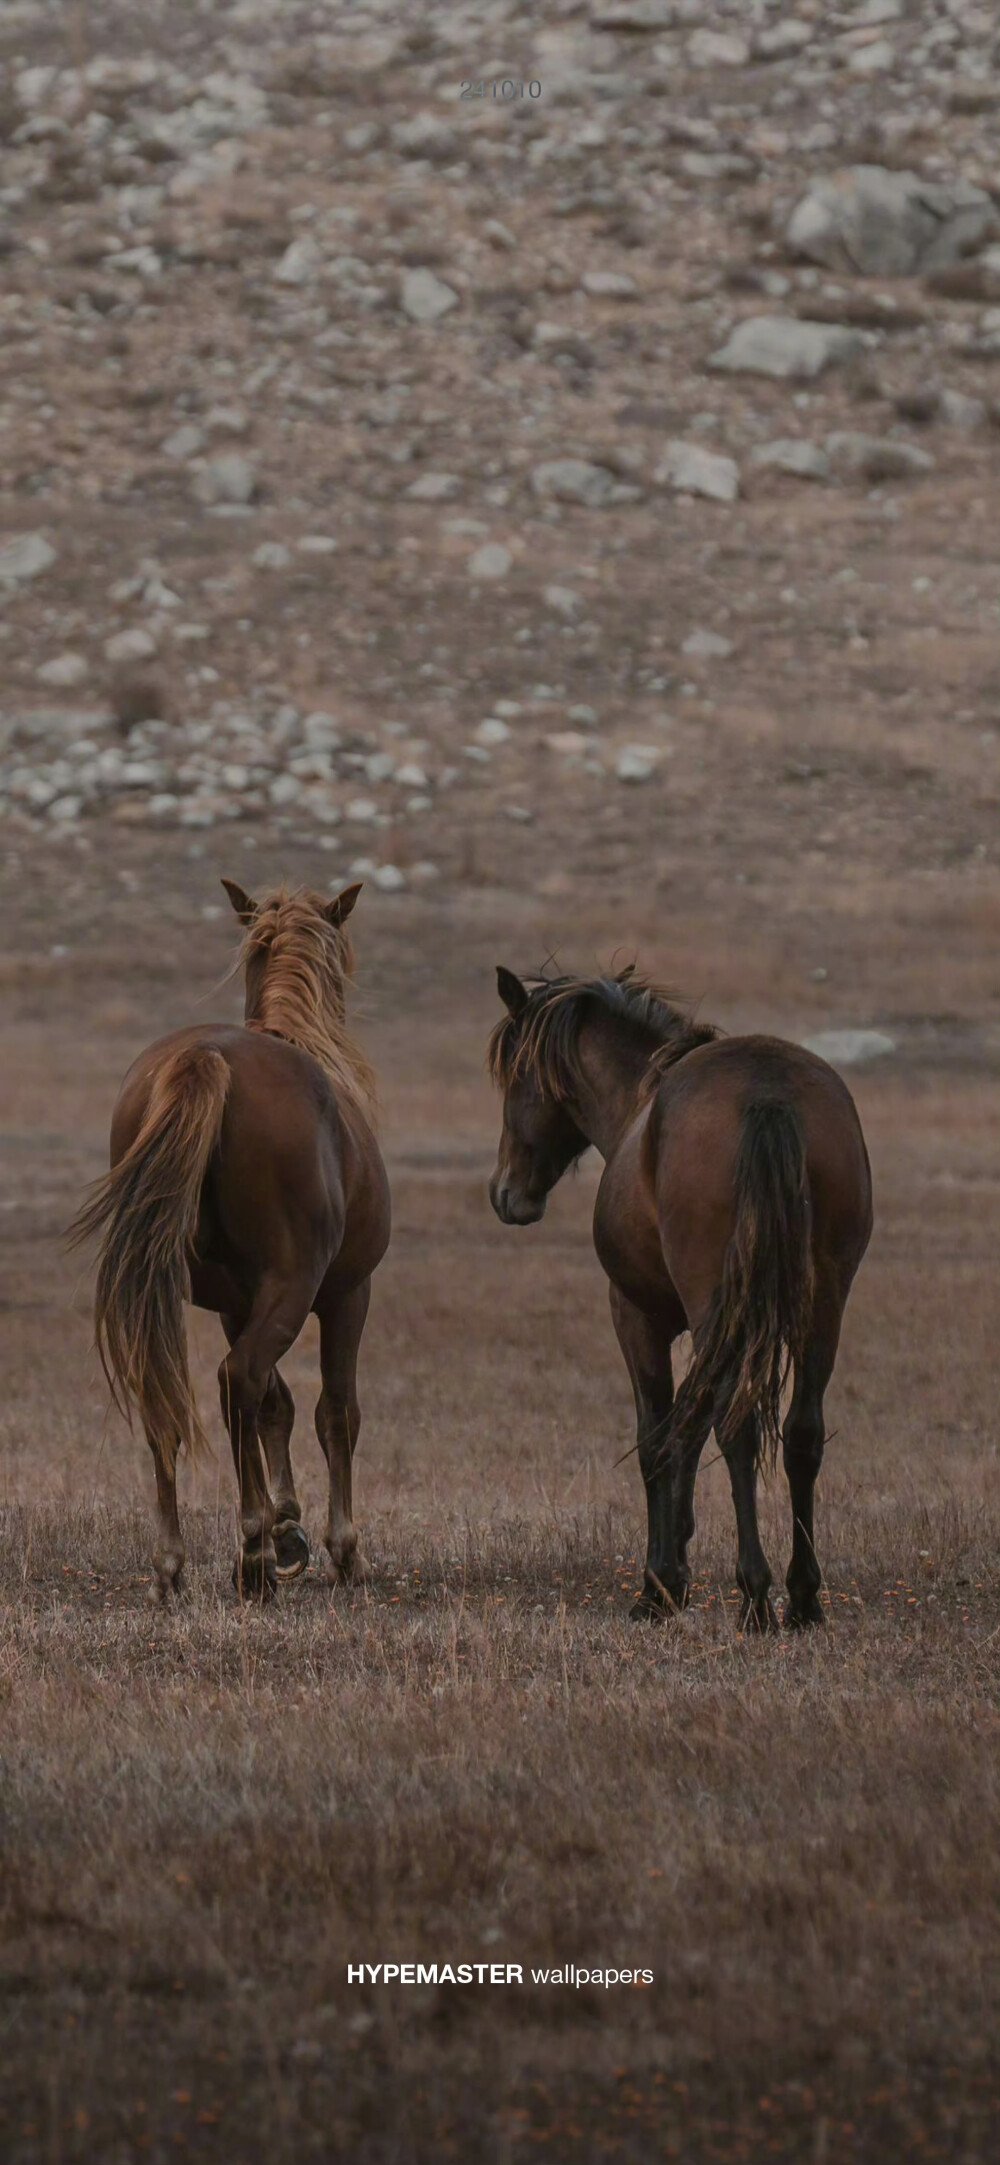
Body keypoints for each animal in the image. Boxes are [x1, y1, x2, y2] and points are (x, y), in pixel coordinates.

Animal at [68, 878, 389, 1610]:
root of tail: (204, 1059)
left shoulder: (235, 1303)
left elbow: (275, 1405)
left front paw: (288, 1525)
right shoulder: (347, 1294)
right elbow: (334, 1411)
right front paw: (336, 1547)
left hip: (171, 1291)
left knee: (173, 1395)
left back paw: (173, 1563)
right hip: (298, 1288)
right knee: (238, 1377)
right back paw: (251, 1556)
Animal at [489, 974, 870, 1628]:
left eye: (516, 1074)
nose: (505, 1194)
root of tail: (768, 1095)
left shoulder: (637, 1316)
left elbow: (657, 1438)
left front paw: (659, 1584)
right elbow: (686, 1430)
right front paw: (679, 1565)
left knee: (735, 1429)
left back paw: (755, 1597)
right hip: (822, 1310)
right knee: (801, 1434)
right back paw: (802, 1599)